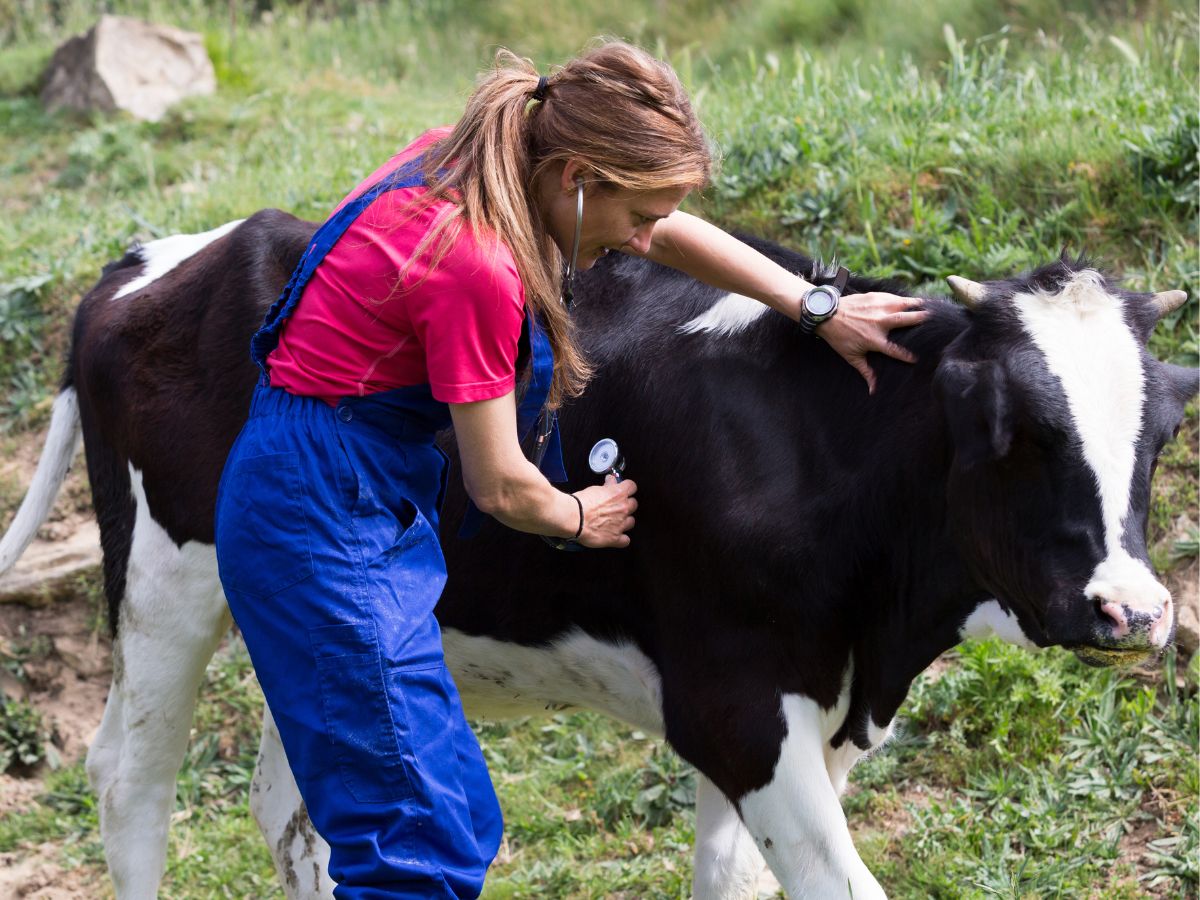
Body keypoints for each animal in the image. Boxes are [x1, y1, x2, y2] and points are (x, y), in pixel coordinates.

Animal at [0, 206, 1190, 900]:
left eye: (1160, 435)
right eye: (1012, 429)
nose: (1132, 610)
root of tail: (157, 255)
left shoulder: (819, 711)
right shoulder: (734, 706)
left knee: (303, 820)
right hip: (164, 580)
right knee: (132, 783)